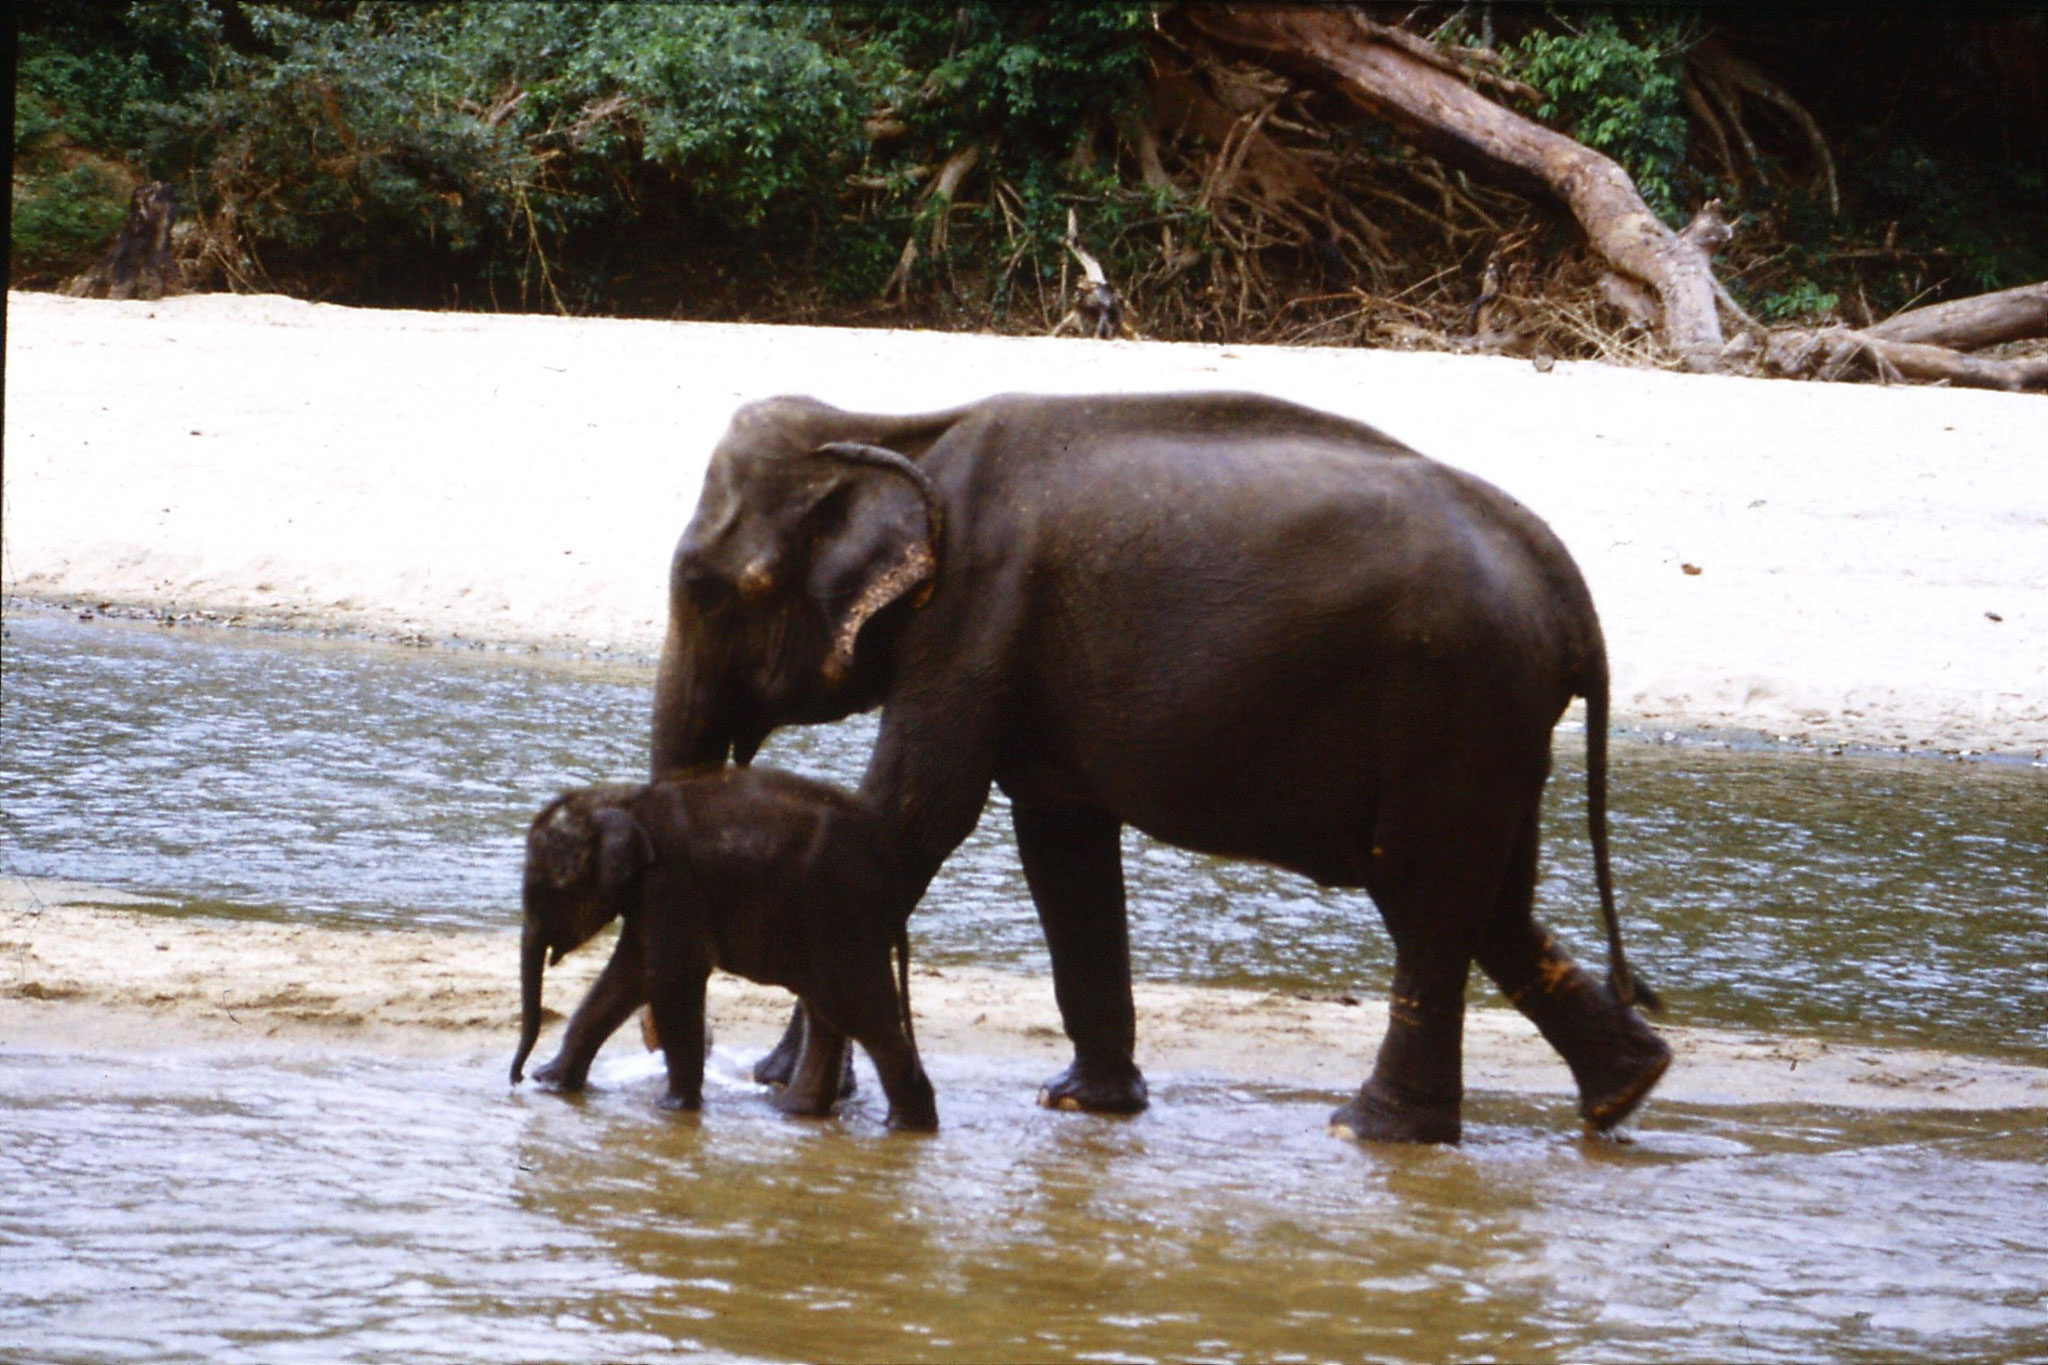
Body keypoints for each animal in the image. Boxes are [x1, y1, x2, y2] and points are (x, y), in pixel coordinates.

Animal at [509, 769, 937, 1129]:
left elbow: (672, 976)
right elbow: (629, 975)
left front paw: (673, 1108)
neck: (620, 798)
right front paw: (551, 1084)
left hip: (845, 919)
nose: (516, 1078)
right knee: (827, 1012)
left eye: (550, 889)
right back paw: (793, 1112)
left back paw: (907, 1126)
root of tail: (890, 869)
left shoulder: (671, 880)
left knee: (861, 1014)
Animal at [647, 388, 1671, 1146]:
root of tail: (1569, 589)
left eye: (704, 589)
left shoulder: (975, 612)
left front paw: (793, 1104)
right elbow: (1059, 838)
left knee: (1426, 895)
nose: (674, 1055)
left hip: (1457, 703)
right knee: (1490, 902)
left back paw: (1371, 1130)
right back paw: (1624, 1090)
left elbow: (914, 816)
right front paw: (1082, 1104)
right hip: (1500, 721)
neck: (900, 425)